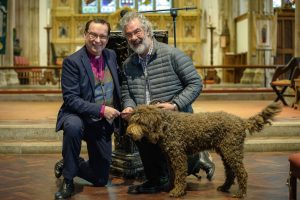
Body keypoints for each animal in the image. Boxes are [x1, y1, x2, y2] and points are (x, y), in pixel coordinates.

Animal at [125, 103, 282, 198]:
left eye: (140, 122)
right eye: (132, 120)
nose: (129, 134)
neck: (166, 125)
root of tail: (241, 121)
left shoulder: (178, 156)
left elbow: (180, 175)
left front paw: (178, 191)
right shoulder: (171, 157)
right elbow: (173, 175)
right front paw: (171, 187)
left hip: (232, 151)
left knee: (242, 173)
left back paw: (240, 193)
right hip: (226, 152)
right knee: (230, 172)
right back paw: (224, 187)